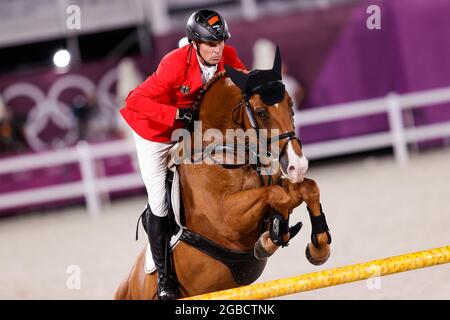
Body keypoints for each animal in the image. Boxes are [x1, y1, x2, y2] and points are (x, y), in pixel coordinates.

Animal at [114, 48, 332, 298]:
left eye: (291, 105)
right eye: (260, 112)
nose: (298, 164)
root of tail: (129, 283)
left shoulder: (275, 184)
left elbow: (307, 188)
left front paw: (318, 247)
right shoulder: (226, 219)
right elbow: (277, 195)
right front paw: (271, 238)